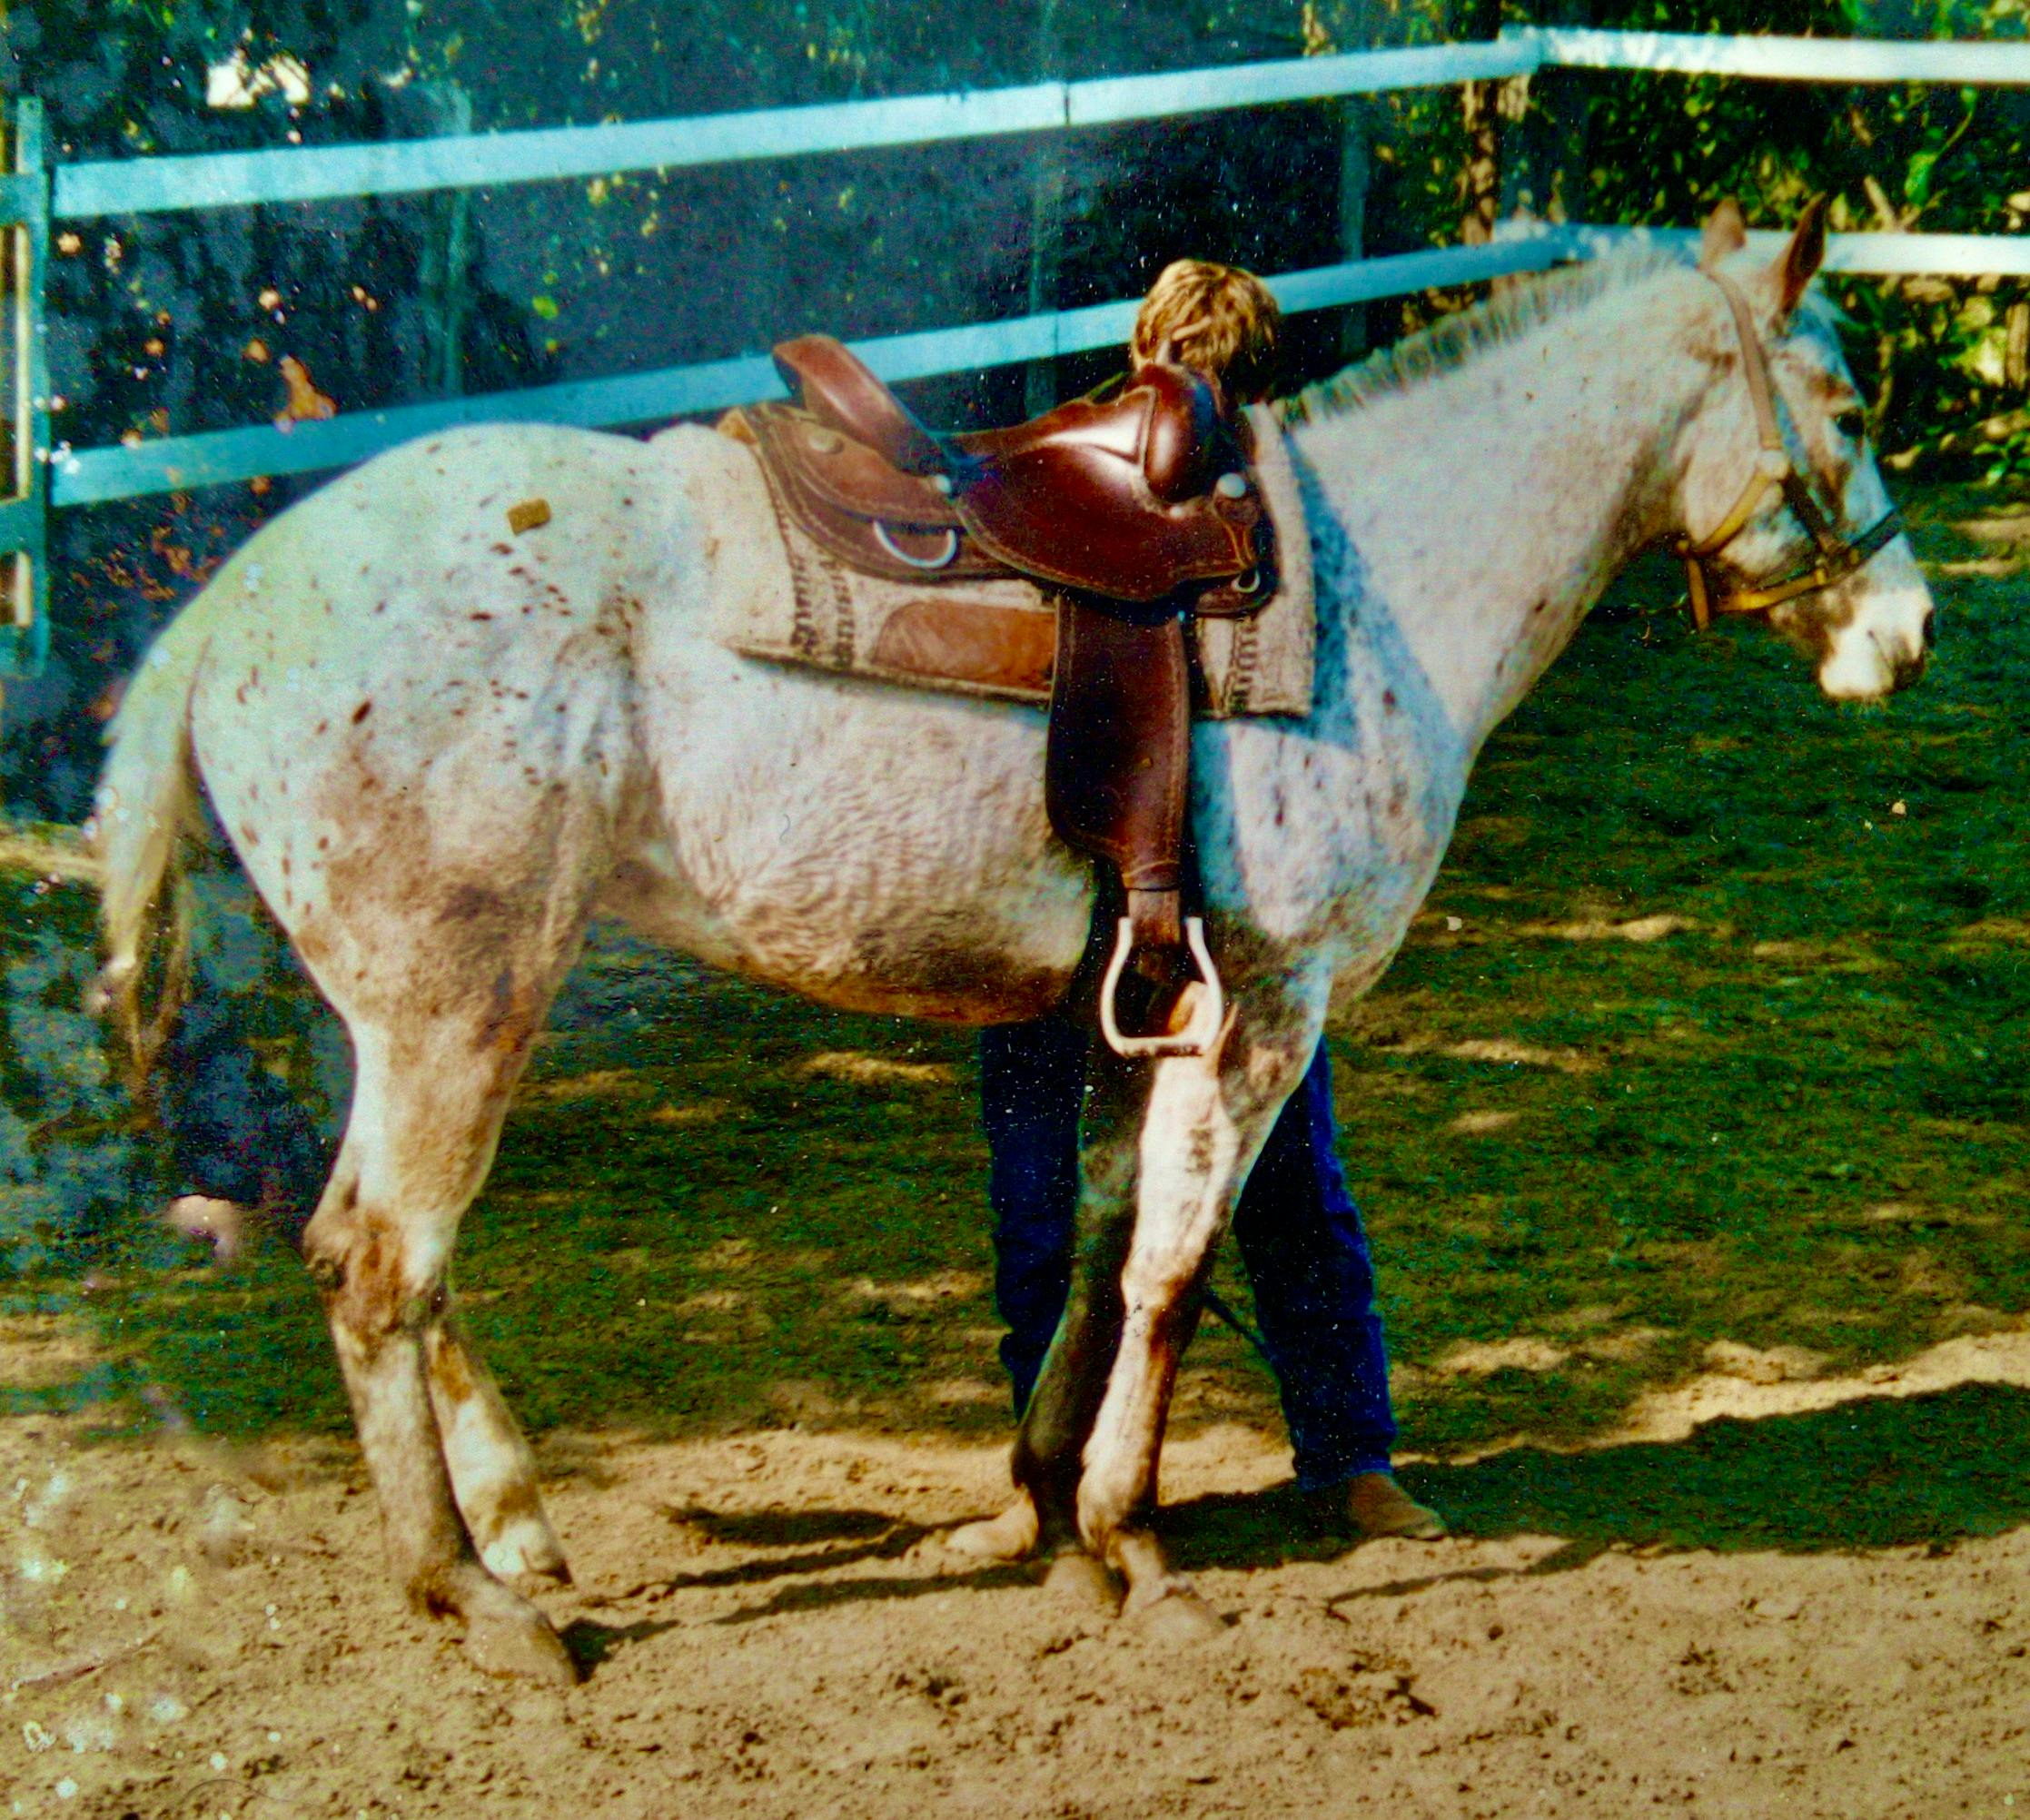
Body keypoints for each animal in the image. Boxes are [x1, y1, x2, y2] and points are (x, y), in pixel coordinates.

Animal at [92, 201, 1934, 1682]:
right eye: (1845, 406)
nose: (1907, 631)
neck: (1375, 589)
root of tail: (231, 602)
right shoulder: (1262, 1011)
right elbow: (1175, 1266)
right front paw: (1132, 1541)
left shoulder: (1139, 1003)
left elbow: (1104, 1238)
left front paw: (1042, 1501)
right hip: (457, 1010)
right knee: (378, 1264)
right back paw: (473, 1597)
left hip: (413, 1018)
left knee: (393, 1261)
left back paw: (516, 1530)